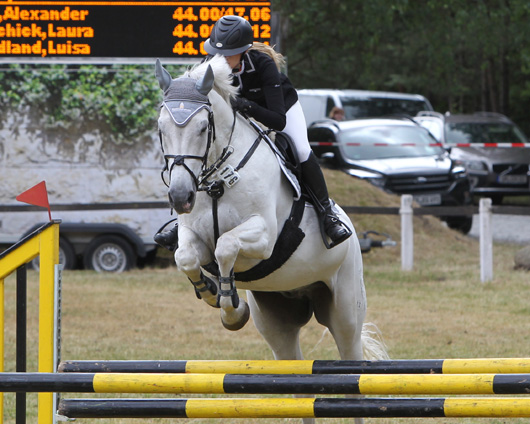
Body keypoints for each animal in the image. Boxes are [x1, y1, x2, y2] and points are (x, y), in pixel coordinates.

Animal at [155, 55, 386, 420]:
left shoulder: (263, 239)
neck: (220, 180)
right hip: (277, 322)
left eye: (203, 128)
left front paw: (231, 309)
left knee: (353, 368)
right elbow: (187, 257)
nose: (180, 197)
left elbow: (226, 247)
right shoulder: (192, 237)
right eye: (161, 129)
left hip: (345, 311)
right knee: (297, 382)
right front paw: (214, 296)